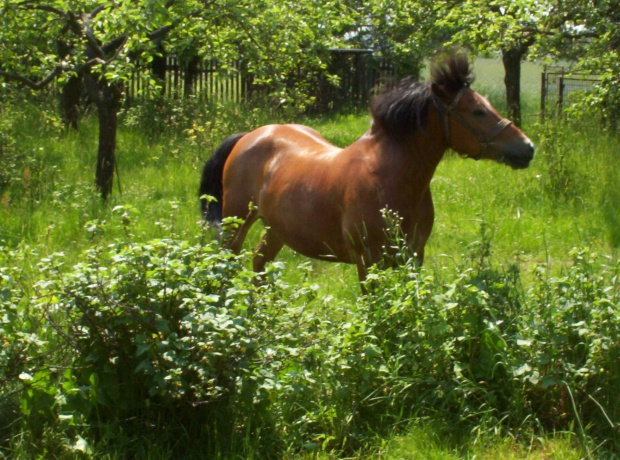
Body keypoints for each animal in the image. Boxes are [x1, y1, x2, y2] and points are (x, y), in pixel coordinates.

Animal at [199, 54, 532, 284]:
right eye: (477, 111)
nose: (527, 148)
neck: (390, 178)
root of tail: (250, 135)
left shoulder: (413, 257)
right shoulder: (368, 261)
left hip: (276, 227)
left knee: (258, 263)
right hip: (236, 221)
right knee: (229, 262)